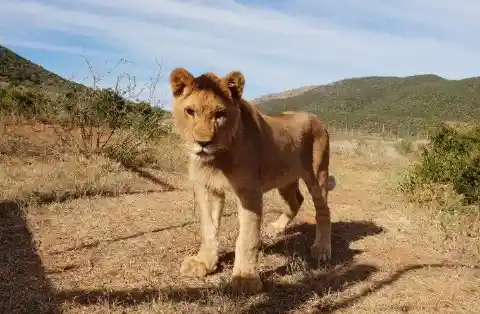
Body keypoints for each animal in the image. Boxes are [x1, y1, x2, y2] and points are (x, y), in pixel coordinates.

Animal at [171, 67, 336, 296]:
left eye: (220, 114)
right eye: (190, 111)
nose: (203, 143)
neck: (216, 159)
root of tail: (316, 118)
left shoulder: (249, 192)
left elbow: (247, 237)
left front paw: (245, 278)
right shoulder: (207, 187)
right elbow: (208, 227)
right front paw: (203, 263)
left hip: (317, 173)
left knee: (323, 210)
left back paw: (321, 249)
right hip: (284, 178)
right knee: (296, 200)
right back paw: (276, 228)